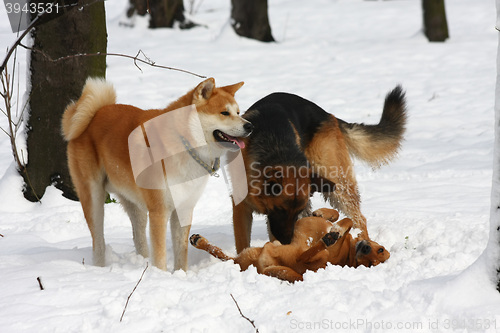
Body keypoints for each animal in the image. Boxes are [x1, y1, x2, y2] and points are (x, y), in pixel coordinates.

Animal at [61, 77, 252, 270]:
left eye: (238, 112)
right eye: (224, 113)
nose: (249, 125)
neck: (184, 143)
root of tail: (94, 113)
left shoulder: (184, 208)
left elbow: (181, 251)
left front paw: (181, 274)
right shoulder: (159, 210)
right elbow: (160, 254)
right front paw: (162, 274)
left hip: (135, 205)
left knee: (138, 237)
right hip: (94, 198)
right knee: (98, 241)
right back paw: (100, 267)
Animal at [191, 208, 390, 282]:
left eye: (371, 264)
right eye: (380, 249)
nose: (365, 248)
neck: (348, 251)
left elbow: (347, 220)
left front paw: (336, 230)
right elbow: (338, 215)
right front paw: (322, 214)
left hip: (309, 258)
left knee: (305, 254)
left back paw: (327, 239)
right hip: (250, 255)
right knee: (224, 256)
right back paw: (199, 241)